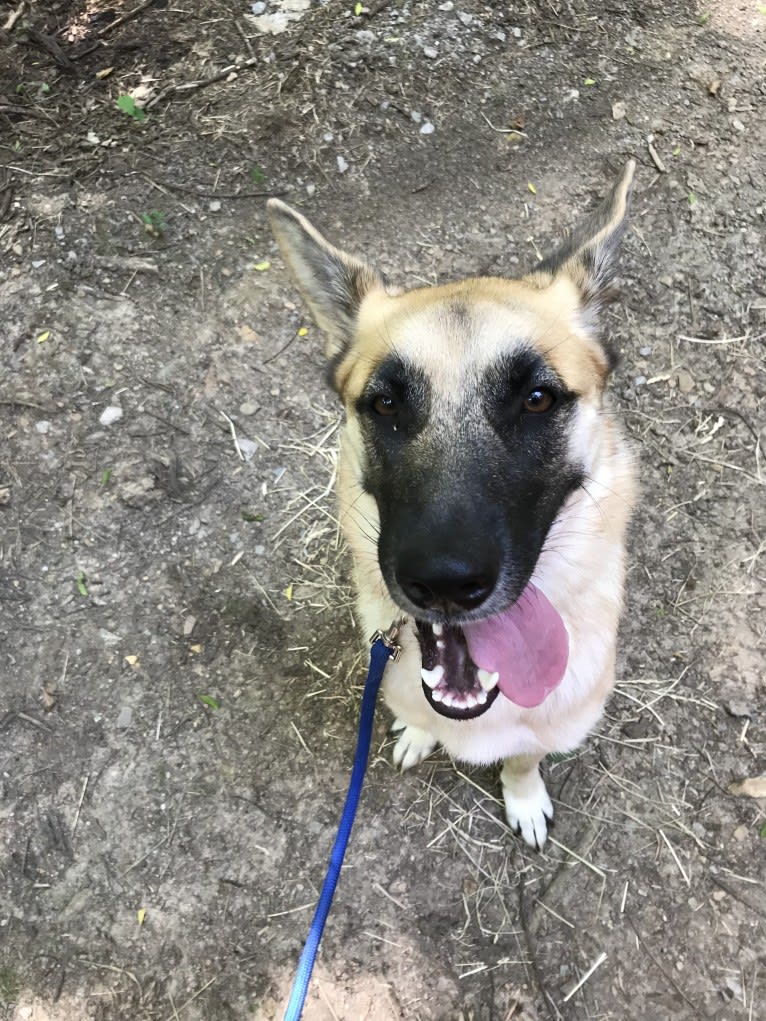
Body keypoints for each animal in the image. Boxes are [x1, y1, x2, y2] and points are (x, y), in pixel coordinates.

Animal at [267, 163, 637, 849]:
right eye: (385, 404)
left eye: (538, 399)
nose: (444, 583)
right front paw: (419, 733)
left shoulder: (545, 728)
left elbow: (523, 758)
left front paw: (523, 796)